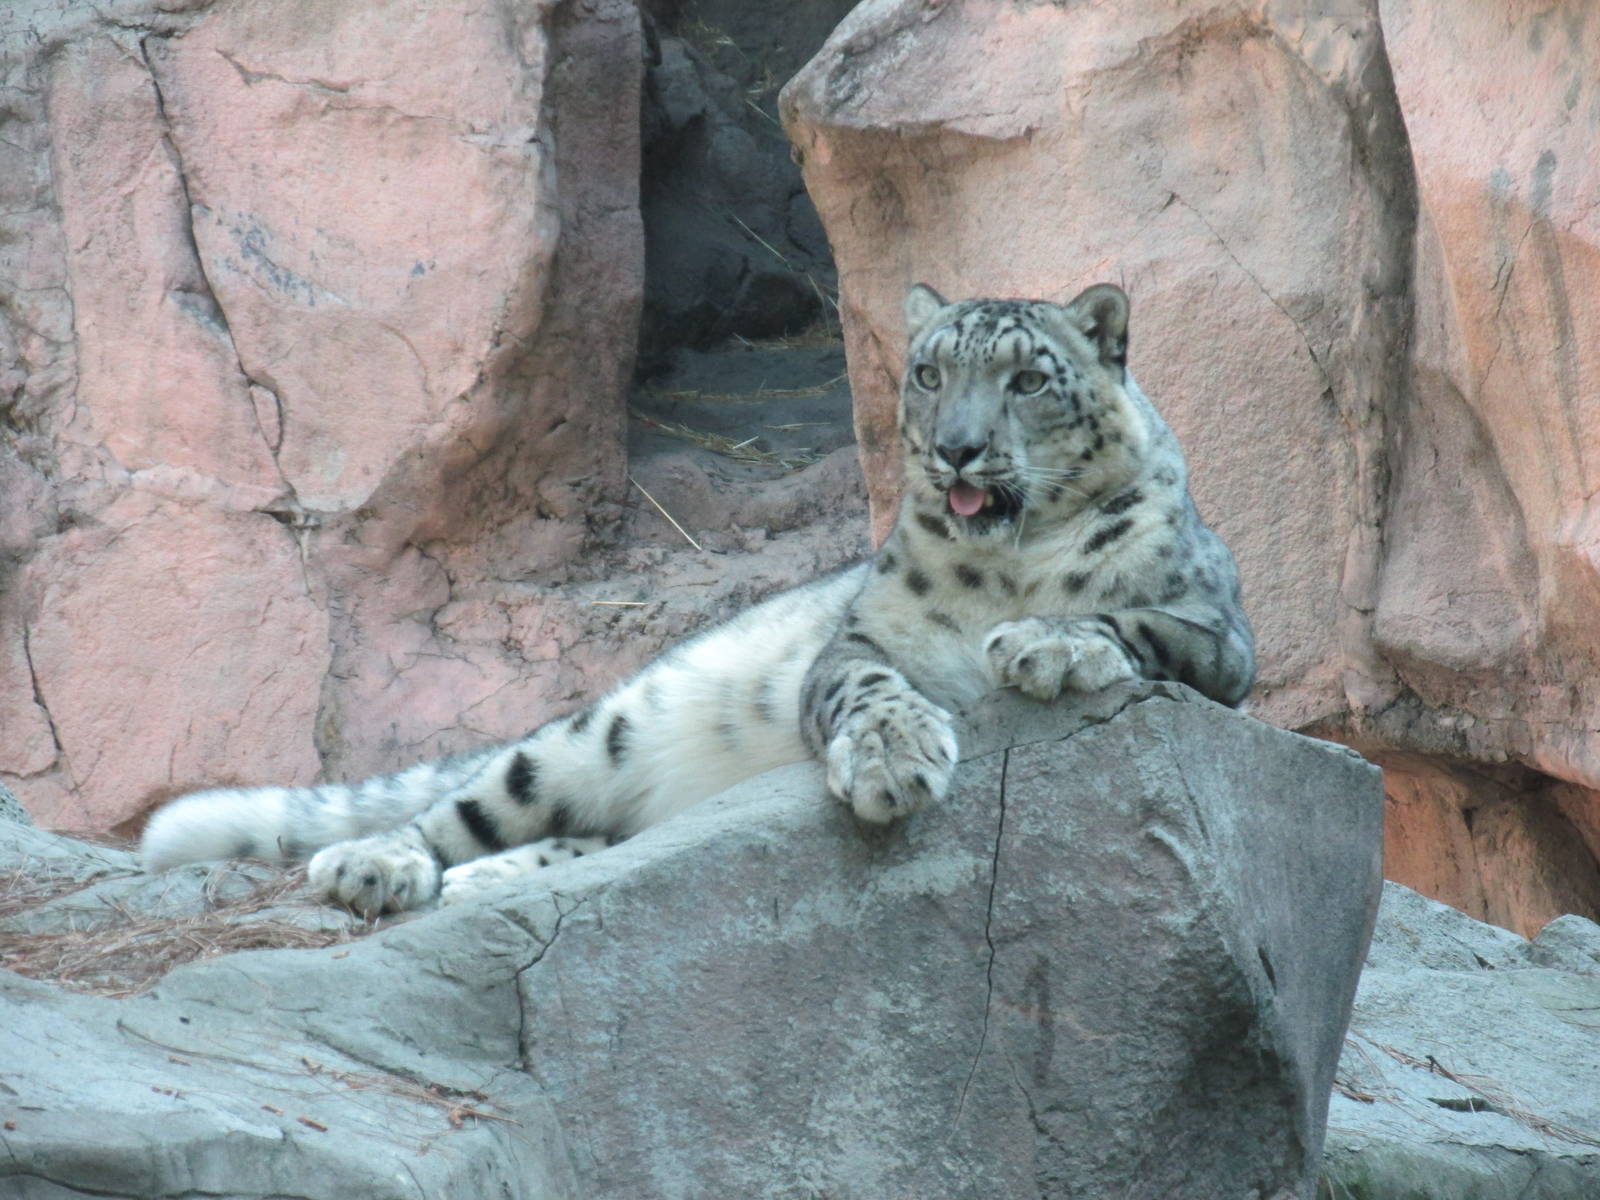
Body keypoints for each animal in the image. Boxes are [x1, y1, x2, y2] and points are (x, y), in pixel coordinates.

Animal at [141, 282, 1255, 915]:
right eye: (930, 373)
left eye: (1027, 380)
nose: (957, 450)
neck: (1007, 561)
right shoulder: (860, 639)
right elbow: (868, 690)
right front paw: (892, 763)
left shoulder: (1227, 639)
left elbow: (1137, 618)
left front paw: (1048, 643)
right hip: (592, 736)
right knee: (459, 811)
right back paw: (380, 866)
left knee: (599, 842)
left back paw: (493, 879)